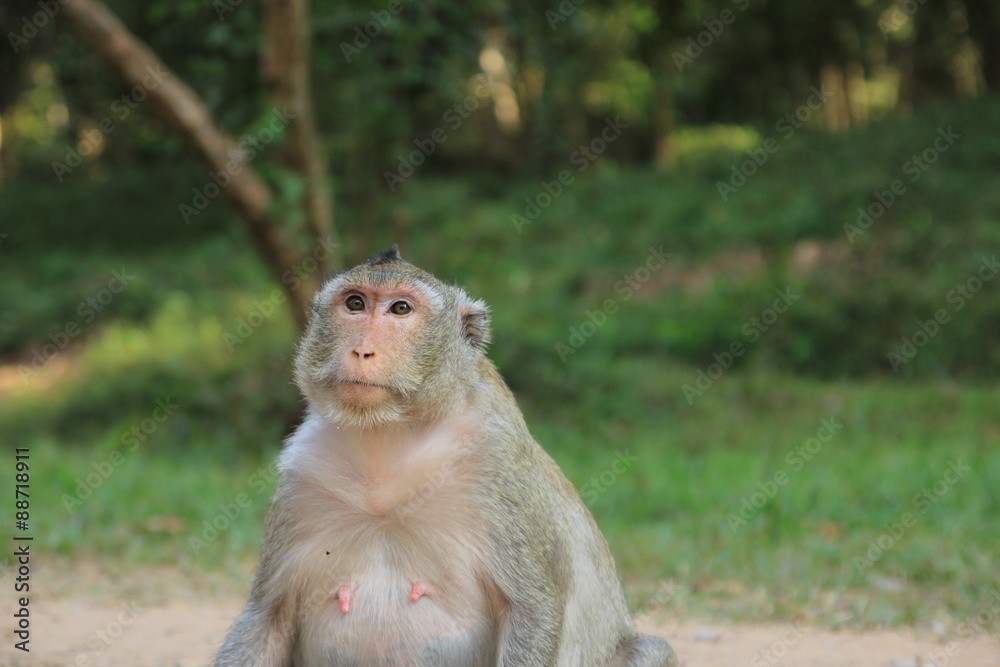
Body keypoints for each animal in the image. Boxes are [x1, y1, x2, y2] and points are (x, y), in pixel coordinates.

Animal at [214, 247, 677, 666]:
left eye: (401, 308)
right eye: (355, 303)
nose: (362, 351)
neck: (386, 443)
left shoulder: (499, 469)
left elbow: (532, 609)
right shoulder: (304, 474)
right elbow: (267, 617)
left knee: (648, 651)